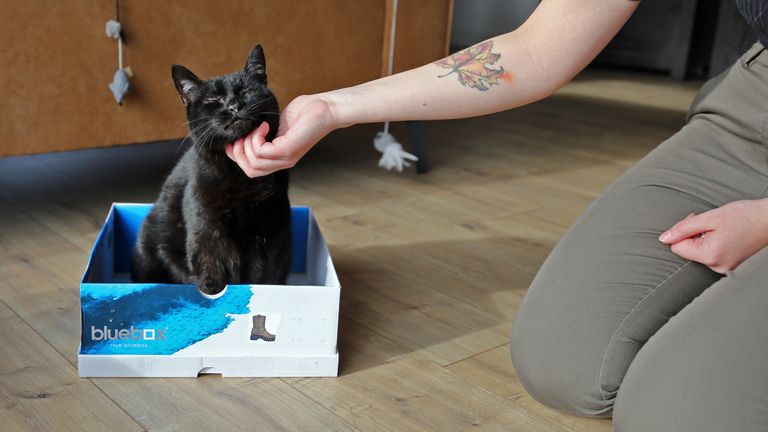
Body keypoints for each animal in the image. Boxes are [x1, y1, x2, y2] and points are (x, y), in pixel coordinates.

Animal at [132, 44, 292, 294]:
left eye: (245, 92)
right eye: (214, 99)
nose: (234, 106)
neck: (237, 171)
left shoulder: (269, 235)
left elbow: (263, 279)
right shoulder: (207, 237)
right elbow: (211, 282)